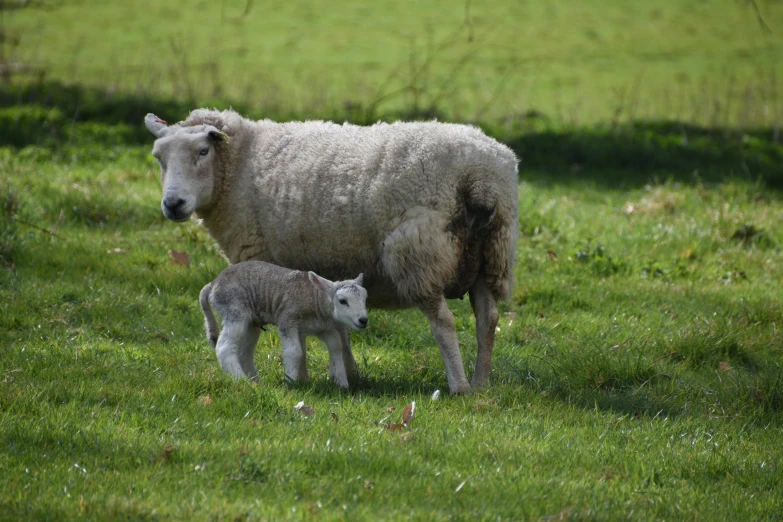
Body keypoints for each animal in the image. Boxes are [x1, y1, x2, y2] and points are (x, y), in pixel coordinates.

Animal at [145, 110, 520, 394]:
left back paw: (459, 386)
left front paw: (300, 377)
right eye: (158, 158)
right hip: (491, 255)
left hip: (419, 254)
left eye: (203, 151)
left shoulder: (262, 259)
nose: (173, 204)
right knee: (488, 319)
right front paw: (348, 374)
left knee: (443, 322)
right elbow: (340, 328)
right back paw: (481, 383)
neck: (240, 165)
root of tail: (480, 177)